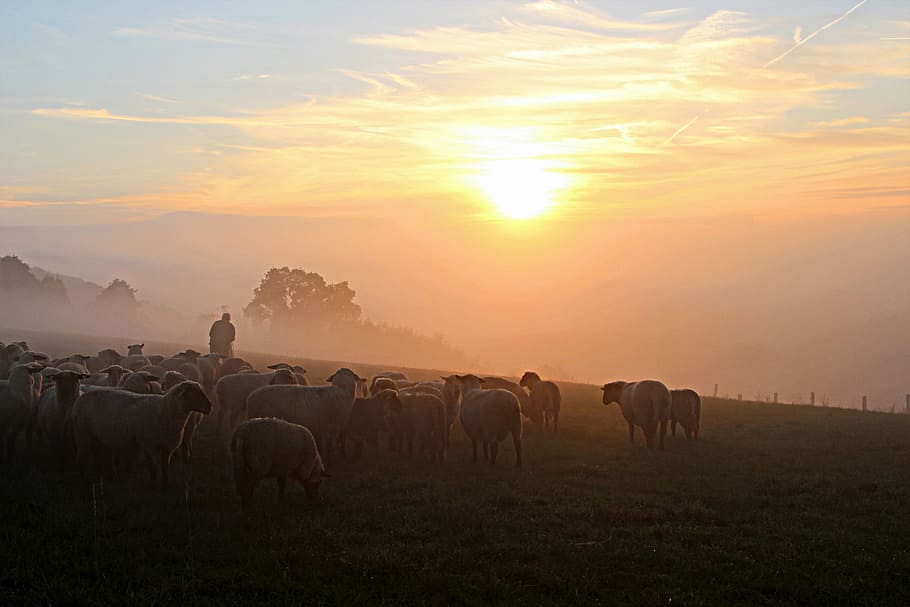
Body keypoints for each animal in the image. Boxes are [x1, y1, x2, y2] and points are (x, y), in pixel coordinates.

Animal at [72, 380, 213, 490]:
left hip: (97, 438)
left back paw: (104, 475)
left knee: (98, 455)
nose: (210, 407)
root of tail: (80, 399)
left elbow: (165, 467)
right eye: (191, 394)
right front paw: (153, 486)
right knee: (81, 457)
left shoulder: (167, 446)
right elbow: (153, 468)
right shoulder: (148, 445)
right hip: (82, 433)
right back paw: (83, 480)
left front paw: (165, 486)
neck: (164, 411)